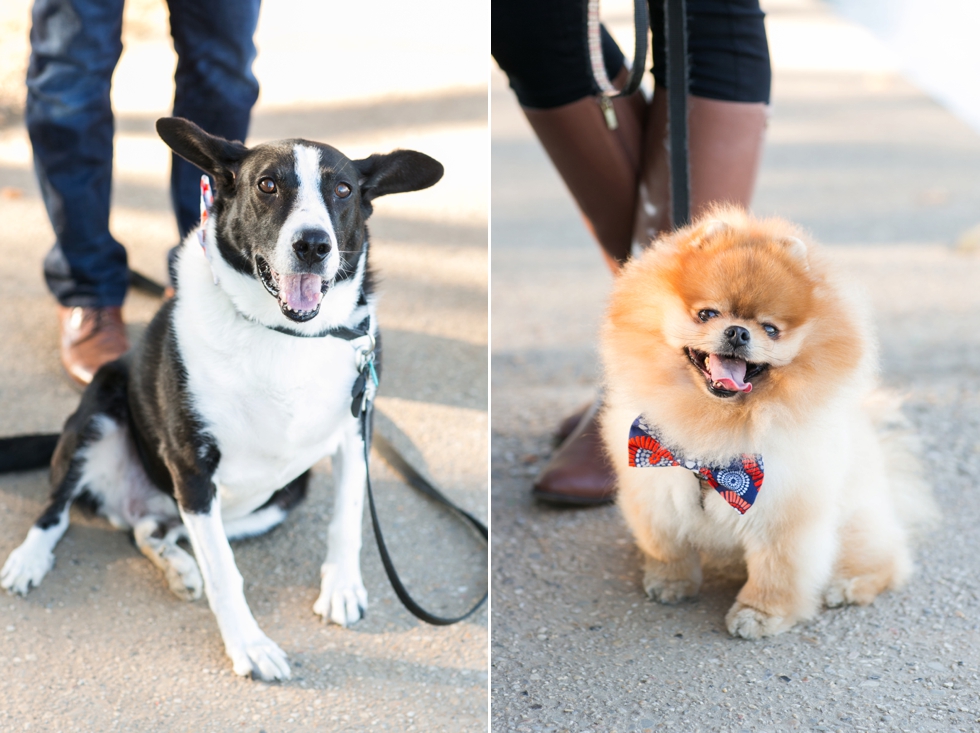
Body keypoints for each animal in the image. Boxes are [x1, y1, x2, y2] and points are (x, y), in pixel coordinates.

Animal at [0, 116, 442, 680]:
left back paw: (178, 565)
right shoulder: (192, 466)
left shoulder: (353, 430)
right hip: (98, 414)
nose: (314, 245)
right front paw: (250, 646)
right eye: (267, 185)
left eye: (343, 190)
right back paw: (30, 558)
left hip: (277, 497)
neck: (284, 333)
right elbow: (227, 575)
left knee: (147, 530)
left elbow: (347, 516)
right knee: (56, 509)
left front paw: (342, 587)